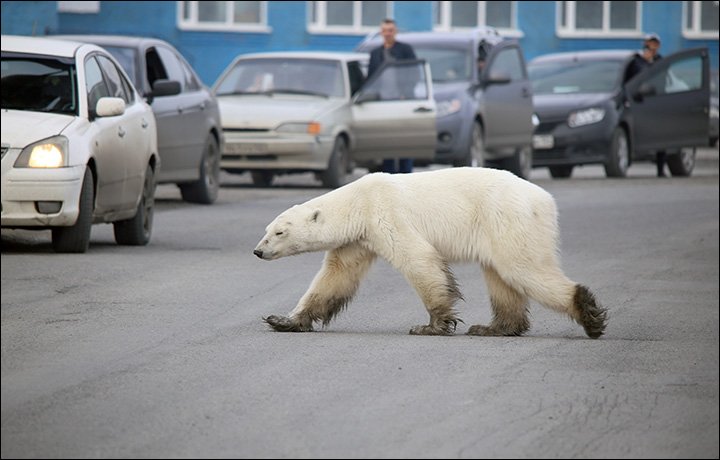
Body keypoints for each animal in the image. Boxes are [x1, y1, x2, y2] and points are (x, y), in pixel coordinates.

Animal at [253, 168, 608, 338]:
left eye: (279, 232)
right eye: (267, 229)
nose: (257, 251)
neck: (358, 202)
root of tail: (545, 199)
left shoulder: (386, 214)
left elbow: (418, 259)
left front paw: (432, 325)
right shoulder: (358, 239)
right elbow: (335, 277)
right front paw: (283, 320)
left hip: (507, 218)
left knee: (522, 268)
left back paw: (589, 314)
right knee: (500, 276)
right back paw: (493, 327)